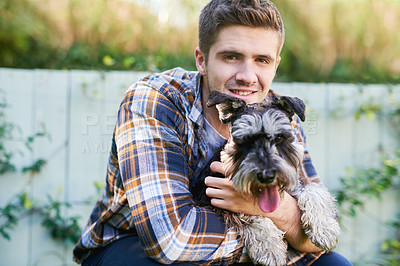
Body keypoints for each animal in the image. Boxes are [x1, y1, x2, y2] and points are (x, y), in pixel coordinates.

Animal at [192, 90, 340, 264]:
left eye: (279, 137)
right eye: (246, 140)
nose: (266, 176)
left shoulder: (296, 183)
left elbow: (314, 190)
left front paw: (324, 229)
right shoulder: (211, 202)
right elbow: (250, 216)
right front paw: (270, 250)